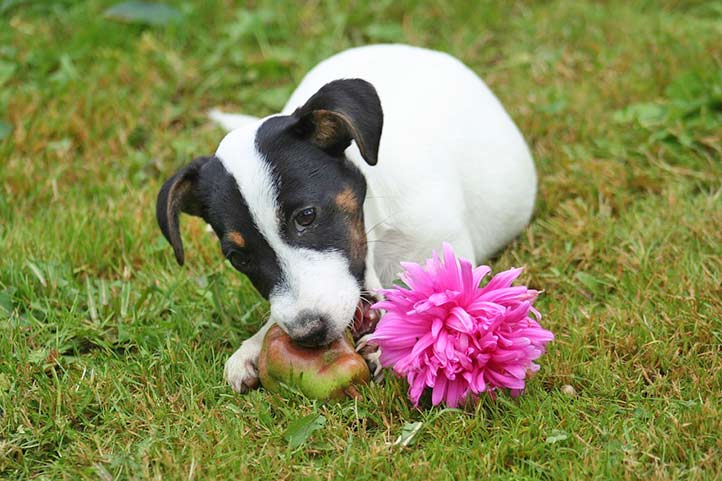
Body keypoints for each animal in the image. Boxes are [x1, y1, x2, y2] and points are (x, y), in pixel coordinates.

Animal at [155, 44, 536, 394]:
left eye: (307, 216)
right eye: (238, 258)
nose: (309, 334)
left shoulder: (446, 256)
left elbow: (434, 309)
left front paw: (391, 345)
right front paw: (254, 344)